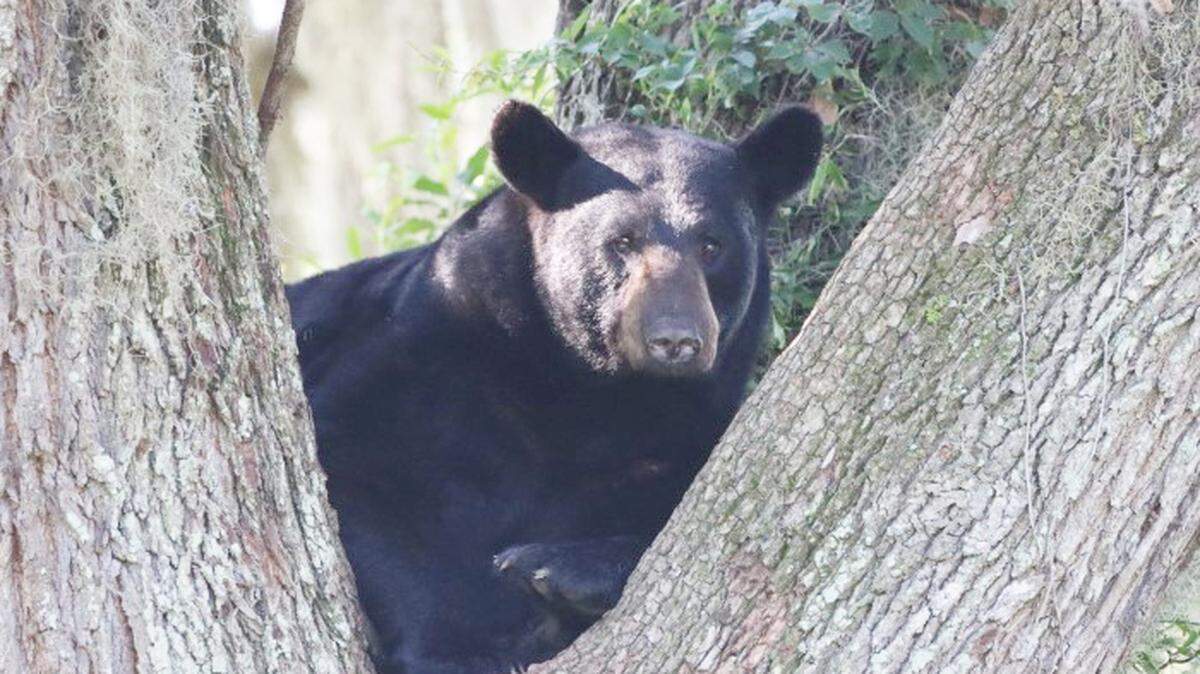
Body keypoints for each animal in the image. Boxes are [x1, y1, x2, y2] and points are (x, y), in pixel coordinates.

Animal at [285, 100, 823, 674]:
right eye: (622, 241)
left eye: (712, 245)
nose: (675, 339)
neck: (584, 389)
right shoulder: (424, 362)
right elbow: (360, 469)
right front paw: (462, 646)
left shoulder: (681, 436)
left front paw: (554, 569)